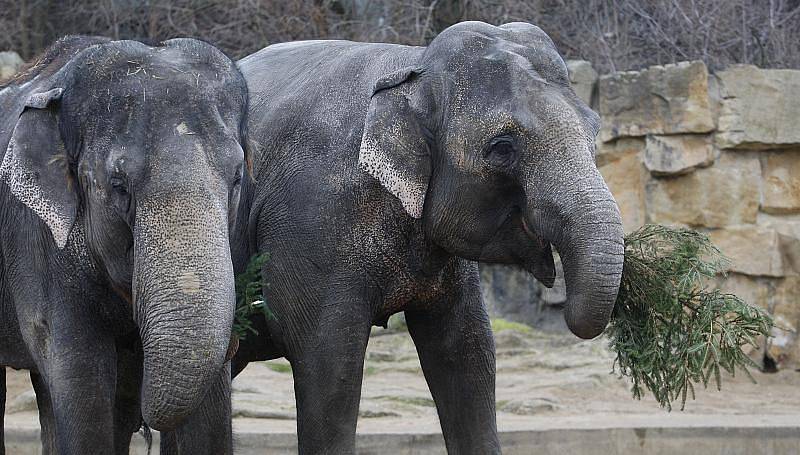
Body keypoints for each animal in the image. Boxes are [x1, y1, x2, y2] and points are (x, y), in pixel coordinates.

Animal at [167, 19, 624, 454]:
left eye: (594, 129)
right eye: (502, 147)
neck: (412, 66)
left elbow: (467, 351)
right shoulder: (312, 219)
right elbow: (326, 361)